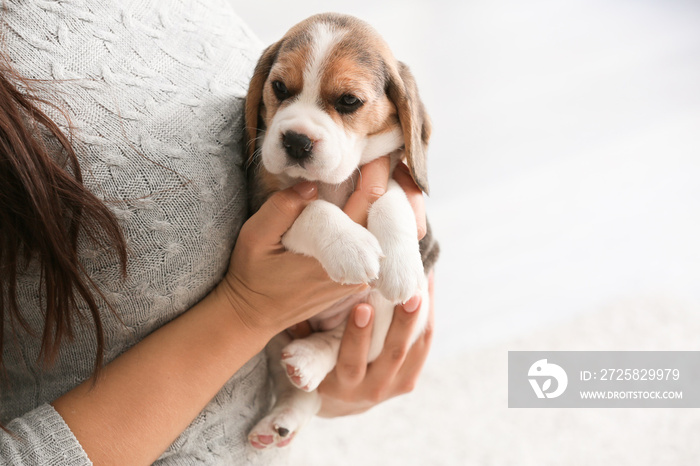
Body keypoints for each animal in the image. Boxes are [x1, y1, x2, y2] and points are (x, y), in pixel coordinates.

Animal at [243, 12, 434, 450]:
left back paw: (311, 359)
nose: (296, 140)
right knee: (304, 389)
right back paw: (285, 411)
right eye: (279, 88)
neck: (332, 181)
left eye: (349, 101)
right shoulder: (259, 208)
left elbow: (390, 199)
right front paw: (351, 245)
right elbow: (313, 207)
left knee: (343, 341)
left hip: (387, 315)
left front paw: (400, 266)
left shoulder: (392, 177)